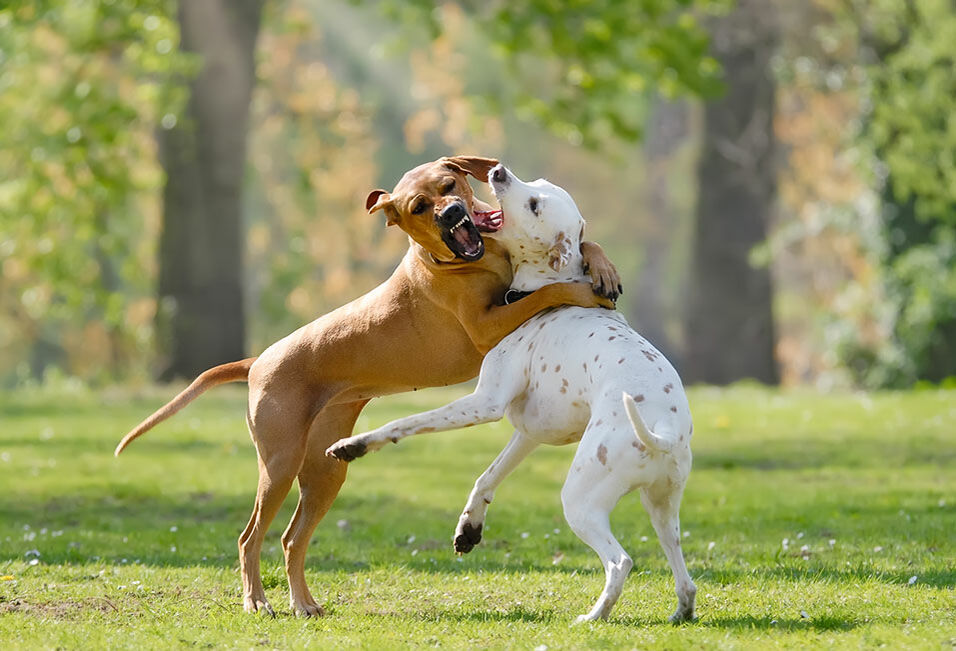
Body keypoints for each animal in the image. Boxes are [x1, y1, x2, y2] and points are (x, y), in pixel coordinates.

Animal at [116, 155, 620, 620]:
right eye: (419, 207)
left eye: (449, 184)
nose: (453, 214)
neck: (475, 259)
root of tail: (258, 361)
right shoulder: (486, 327)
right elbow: (546, 292)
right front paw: (582, 289)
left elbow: (583, 244)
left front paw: (601, 265)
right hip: (279, 464)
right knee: (249, 537)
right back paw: (257, 600)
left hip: (325, 471)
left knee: (291, 538)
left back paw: (304, 603)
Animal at [328, 166, 696, 624]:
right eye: (536, 184)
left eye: (535, 204)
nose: (498, 170)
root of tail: (665, 429)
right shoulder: (529, 433)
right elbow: (487, 476)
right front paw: (469, 527)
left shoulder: (484, 403)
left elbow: (403, 422)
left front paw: (354, 445)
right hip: (662, 510)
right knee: (683, 572)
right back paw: (681, 611)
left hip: (581, 500)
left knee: (620, 561)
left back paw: (593, 617)